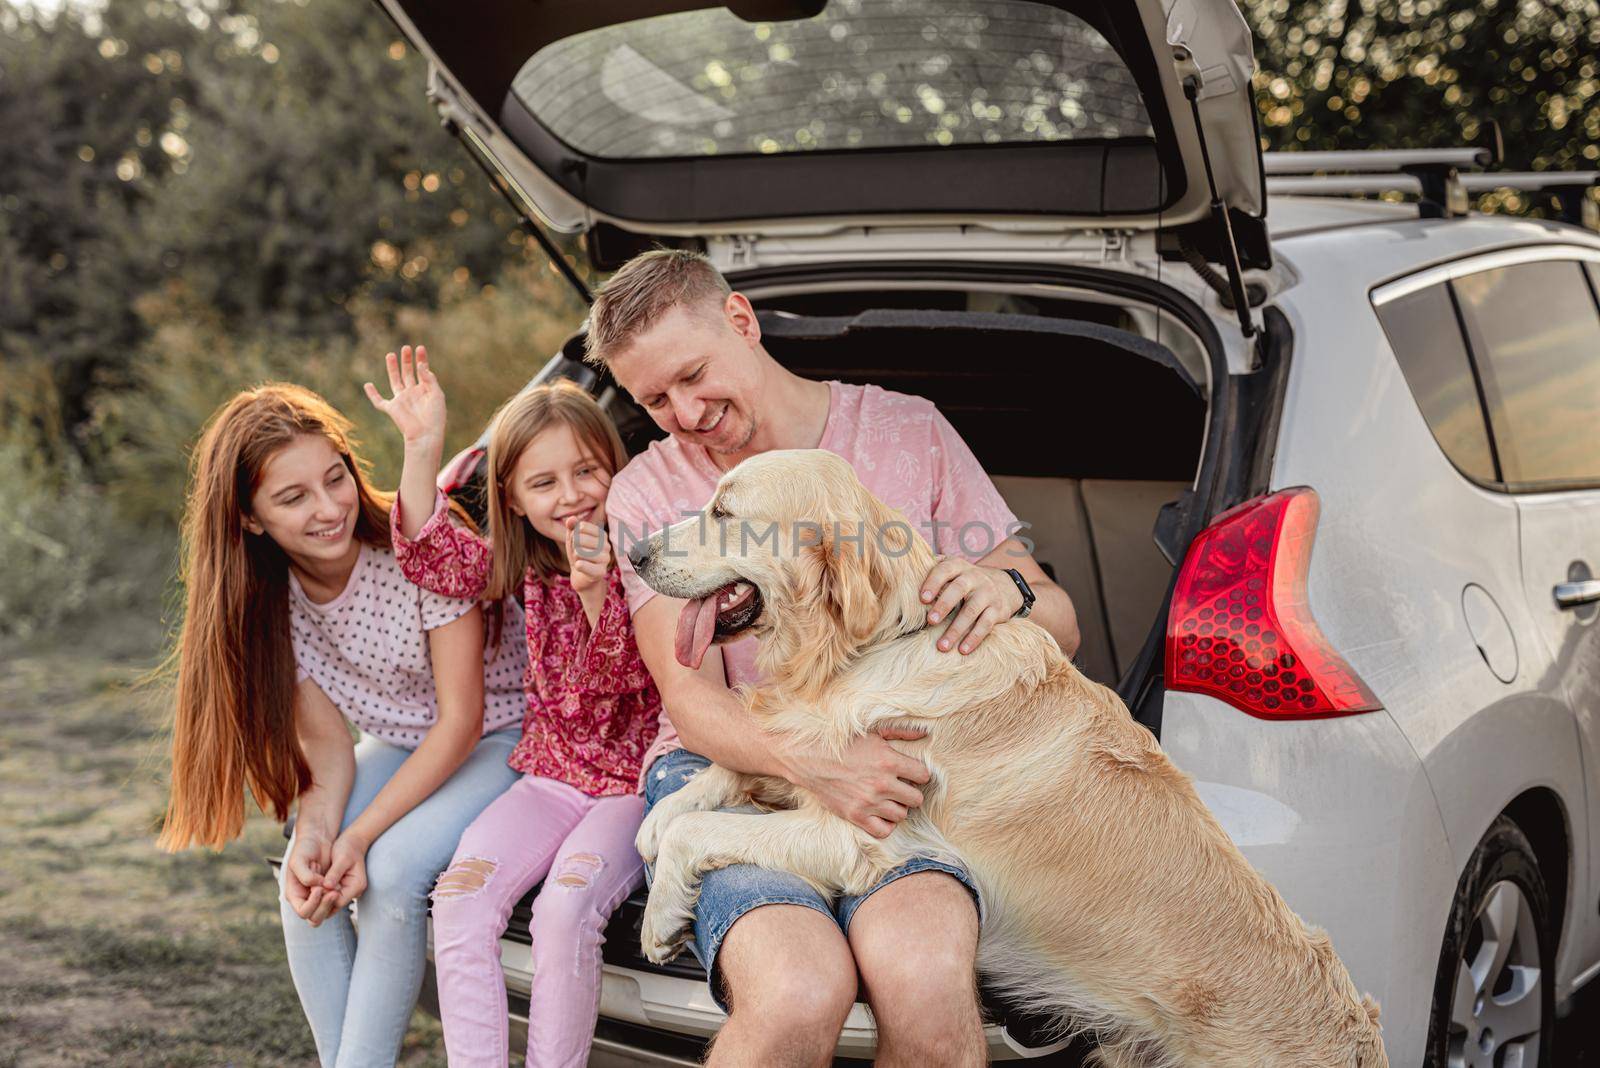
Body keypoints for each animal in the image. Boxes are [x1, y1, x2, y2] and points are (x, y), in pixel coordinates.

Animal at [630, 450, 1382, 1068]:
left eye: (726, 512)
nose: (632, 553)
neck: (873, 645)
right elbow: (729, 773)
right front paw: (658, 817)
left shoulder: (859, 832)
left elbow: (700, 829)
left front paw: (659, 914)